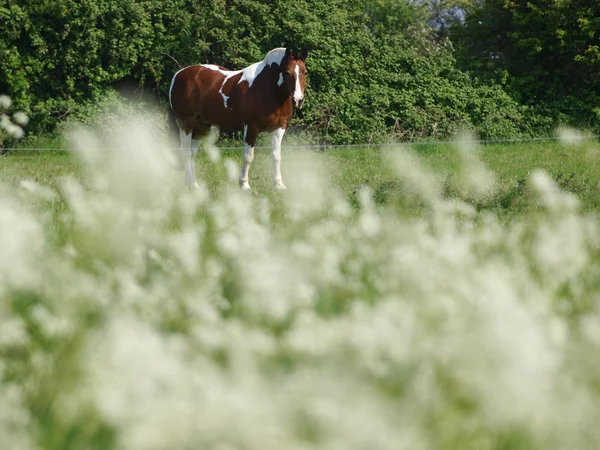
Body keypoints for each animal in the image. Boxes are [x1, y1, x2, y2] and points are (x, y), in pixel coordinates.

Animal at [169, 46, 310, 191]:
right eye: (287, 73)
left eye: (305, 72)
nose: (298, 100)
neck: (268, 88)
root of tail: (178, 74)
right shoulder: (251, 127)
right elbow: (248, 157)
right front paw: (244, 184)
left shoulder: (279, 128)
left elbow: (276, 156)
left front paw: (278, 185)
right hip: (186, 122)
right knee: (185, 152)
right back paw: (192, 185)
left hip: (201, 127)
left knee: (192, 153)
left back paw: (193, 184)